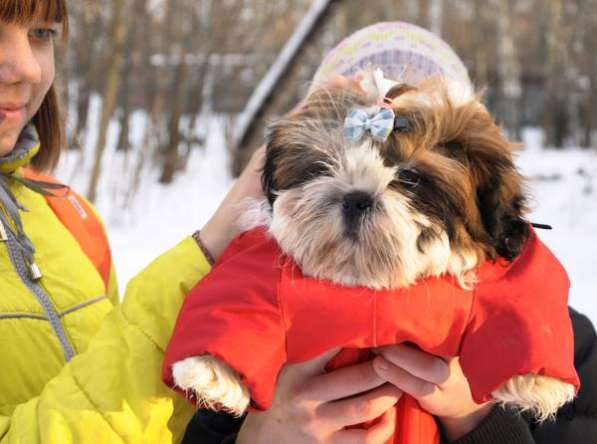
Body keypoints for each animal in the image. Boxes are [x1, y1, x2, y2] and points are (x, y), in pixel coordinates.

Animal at [165, 72, 576, 424]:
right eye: (322, 165)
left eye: (410, 177)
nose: (356, 198)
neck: (367, 284)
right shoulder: (258, 266)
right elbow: (236, 299)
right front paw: (212, 371)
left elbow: (521, 303)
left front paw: (537, 379)